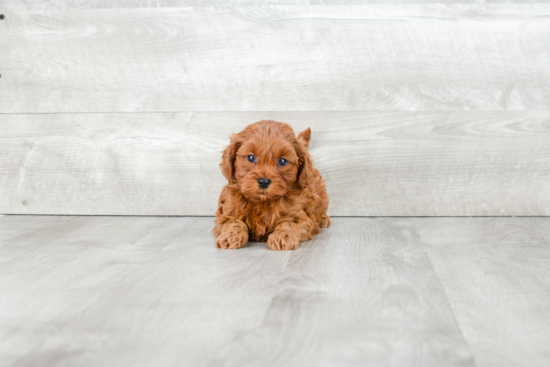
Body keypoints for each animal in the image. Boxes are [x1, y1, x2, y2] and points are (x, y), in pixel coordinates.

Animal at [213, 119, 330, 252]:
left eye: (282, 161)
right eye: (251, 157)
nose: (263, 181)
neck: (263, 201)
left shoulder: (303, 218)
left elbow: (289, 223)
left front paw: (283, 236)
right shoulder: (227, 213)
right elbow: (233, 222)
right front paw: (230, 235)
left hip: (321, 192)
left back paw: (324, 219)